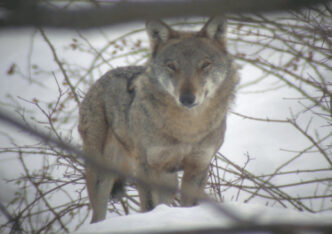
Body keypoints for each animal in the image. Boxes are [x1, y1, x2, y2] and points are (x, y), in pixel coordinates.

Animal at [78, 16, 239, 223]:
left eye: (205, 65)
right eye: (172, 66)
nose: (187, 98)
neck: (188, 128)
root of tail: (99, 80)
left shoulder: (198, 166)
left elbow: (189, 206)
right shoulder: (146, 167)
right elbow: (149, 207)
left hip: (168, 180)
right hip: (102, 174)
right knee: (97, 216)